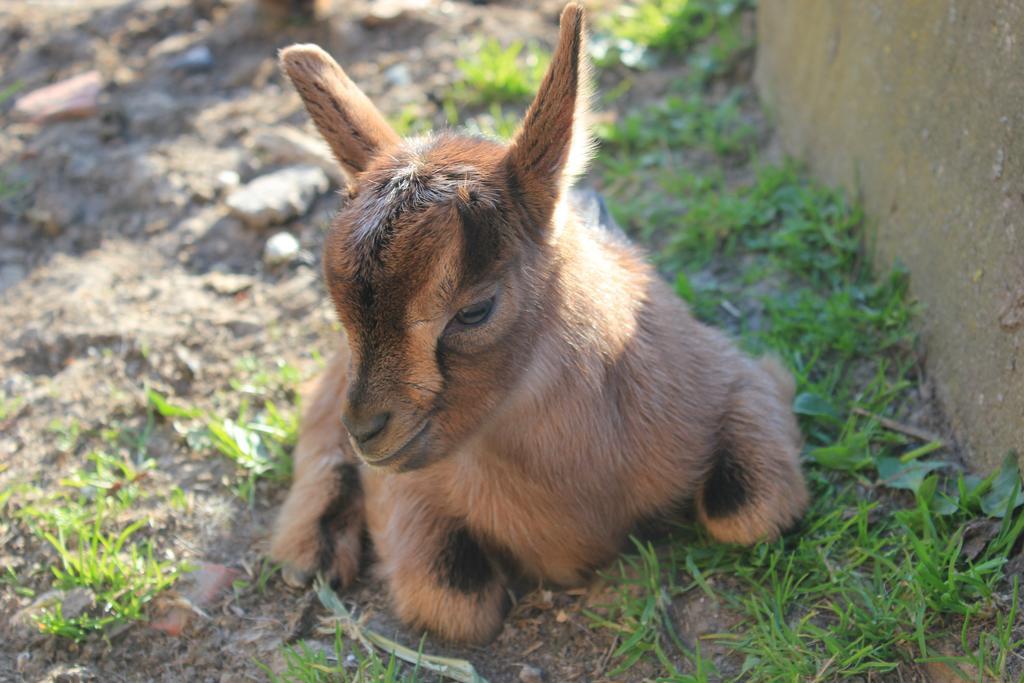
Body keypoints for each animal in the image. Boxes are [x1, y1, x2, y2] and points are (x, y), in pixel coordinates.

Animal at [270, 3, 806, 647]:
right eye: (338, 306)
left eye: (476, 310)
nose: (369, 430)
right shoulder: (404, 487)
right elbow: (453, 600)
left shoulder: (738, 379)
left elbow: (749, 512)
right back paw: (312, 547)